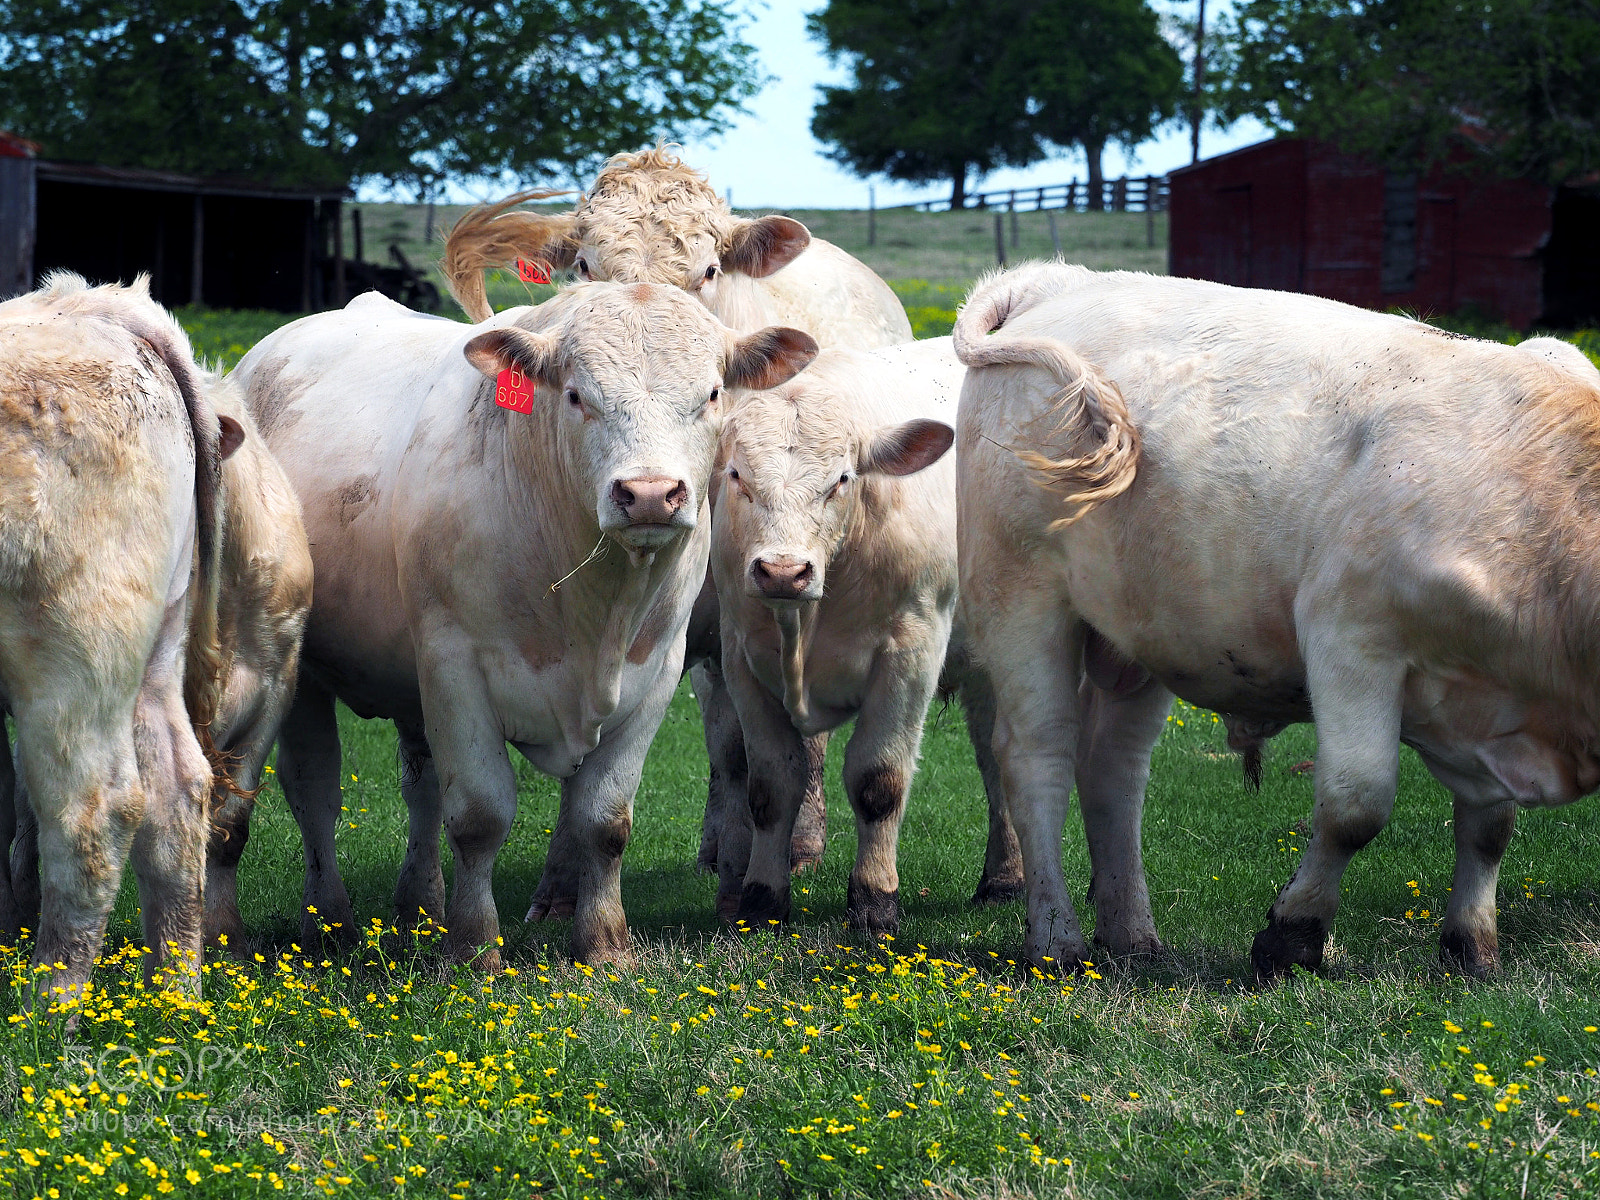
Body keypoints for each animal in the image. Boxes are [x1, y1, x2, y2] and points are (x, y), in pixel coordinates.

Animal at [0, 273, 237, 1000]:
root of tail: (102, 305)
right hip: (155, 645)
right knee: (177, 792)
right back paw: (175, 1003)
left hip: (75, 651)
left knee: (92, 814)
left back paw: (44, 1015)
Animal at [232, 284, 816, 966]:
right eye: (576, 395)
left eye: (713, 394)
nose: (649, 494)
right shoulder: (455, 667)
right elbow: (478, 816)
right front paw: (474, 949)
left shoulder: (656, 674)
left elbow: (604, 820)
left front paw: (603, 945)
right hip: (301, 673)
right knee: (316, 795)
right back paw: (329, 923)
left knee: (420, 788)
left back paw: (420, 908)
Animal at [709, 337, 1021, 932]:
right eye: (737, 476)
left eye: (841, 480)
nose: (782, 571)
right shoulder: (740, 657)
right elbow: (771, 786)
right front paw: (761, 900)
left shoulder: (911, 651)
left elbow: (878, 782)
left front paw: (875, 903)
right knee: (997, 758)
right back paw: (1005, 876)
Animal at [953, 260, 1600, 980]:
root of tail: (1059, 280)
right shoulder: (1351, 637)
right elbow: (1355, 805)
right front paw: (1294, 933)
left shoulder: (1488, 706)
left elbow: (1490, 827)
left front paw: (1472, 946)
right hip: (1023, 596)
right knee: (1037, 757)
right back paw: (1057, 938)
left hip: (1139, 629)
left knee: (1113, 767)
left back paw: (1131, 936)